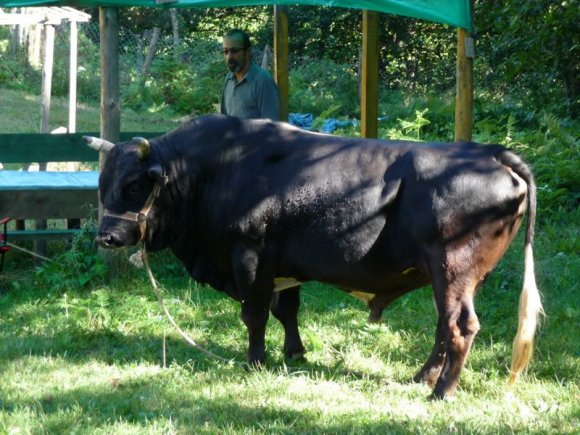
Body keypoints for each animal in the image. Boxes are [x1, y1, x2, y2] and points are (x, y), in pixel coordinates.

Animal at [85, 114, 540, 400]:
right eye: (102, 183)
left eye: (133, 185)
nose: (107, 236)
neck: (214, 171)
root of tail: (492, 153)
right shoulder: (285, 266)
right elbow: (287, 310)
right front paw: (294, 353)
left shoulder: (250, 257)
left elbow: (254, 314)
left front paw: (255, 361)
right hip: (456, 278)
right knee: (445, 327)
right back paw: (421, 378)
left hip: (453, 269)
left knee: (460, 327)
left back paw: (441, 392)